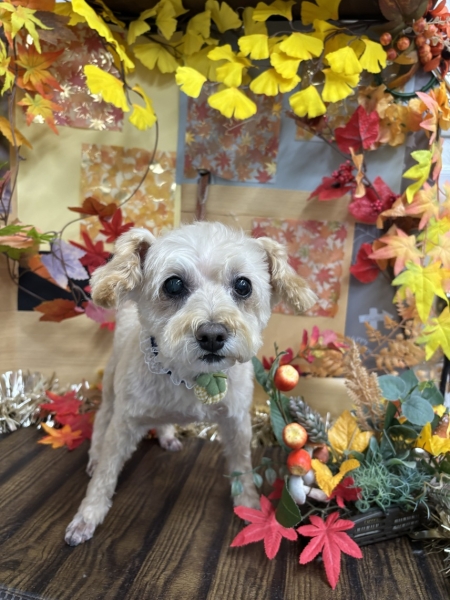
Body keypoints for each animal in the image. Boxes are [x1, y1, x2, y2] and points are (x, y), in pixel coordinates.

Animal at [65, 221, 317, 546]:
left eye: (243, 285)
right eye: (173, 285)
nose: (212, 334)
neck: (191, 377)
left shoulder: (237, 422)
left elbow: (243, 467)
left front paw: (248, 504)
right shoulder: (124, 422)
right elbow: (107, 471)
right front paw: (89, 514)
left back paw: (167, 435)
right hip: (110, 389)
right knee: (100, 422)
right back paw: (94, 456)